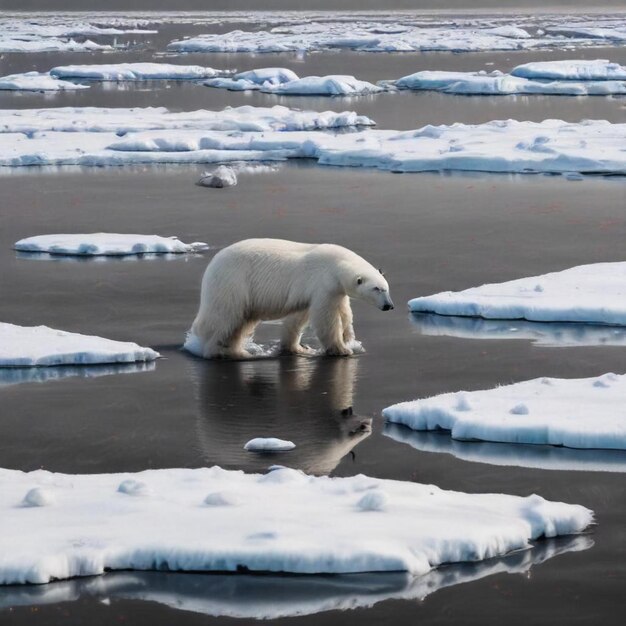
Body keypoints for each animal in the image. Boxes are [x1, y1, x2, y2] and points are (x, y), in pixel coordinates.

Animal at [183, 238, 392, 358]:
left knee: (242, 322)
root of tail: (211, 266)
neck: (336, 264)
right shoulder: (323, 284)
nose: (389, 306)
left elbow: (305, 317)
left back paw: (237, 349)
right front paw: (341, 349)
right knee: (223, 317)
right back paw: (222, 352)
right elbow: (326, 318)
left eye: (387, 289)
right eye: (376, 289)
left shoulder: (328, 290)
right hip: (233, 283)